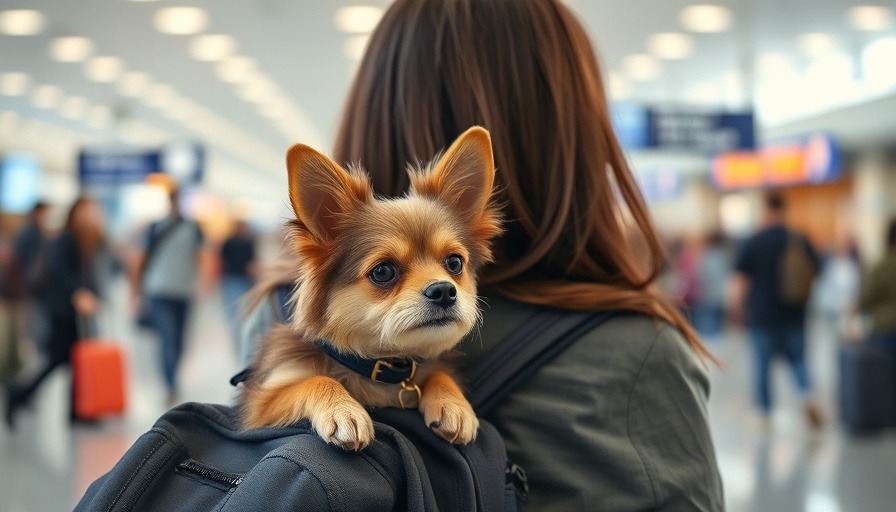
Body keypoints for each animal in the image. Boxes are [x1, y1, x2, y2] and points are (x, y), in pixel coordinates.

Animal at [242, 126, 500, 450]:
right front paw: (343, 409)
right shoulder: (258, 406)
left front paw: (453, 403)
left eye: (454, 263)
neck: (380, 366)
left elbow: (439, 374)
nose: (444, 290)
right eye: (383, 271)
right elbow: (315, 380)